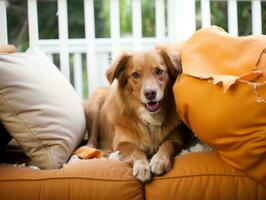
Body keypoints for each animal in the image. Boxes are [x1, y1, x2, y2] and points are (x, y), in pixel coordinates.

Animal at [78, 47, 184, 183]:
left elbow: (167, 145)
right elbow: (136, 150)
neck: (148, 117)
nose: (150, 93)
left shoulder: (176, 139)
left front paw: (159, 160)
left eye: (159, 71)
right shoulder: (122, 143)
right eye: (135, 74)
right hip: (95, 103)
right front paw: (142, 167)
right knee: (91, 141)